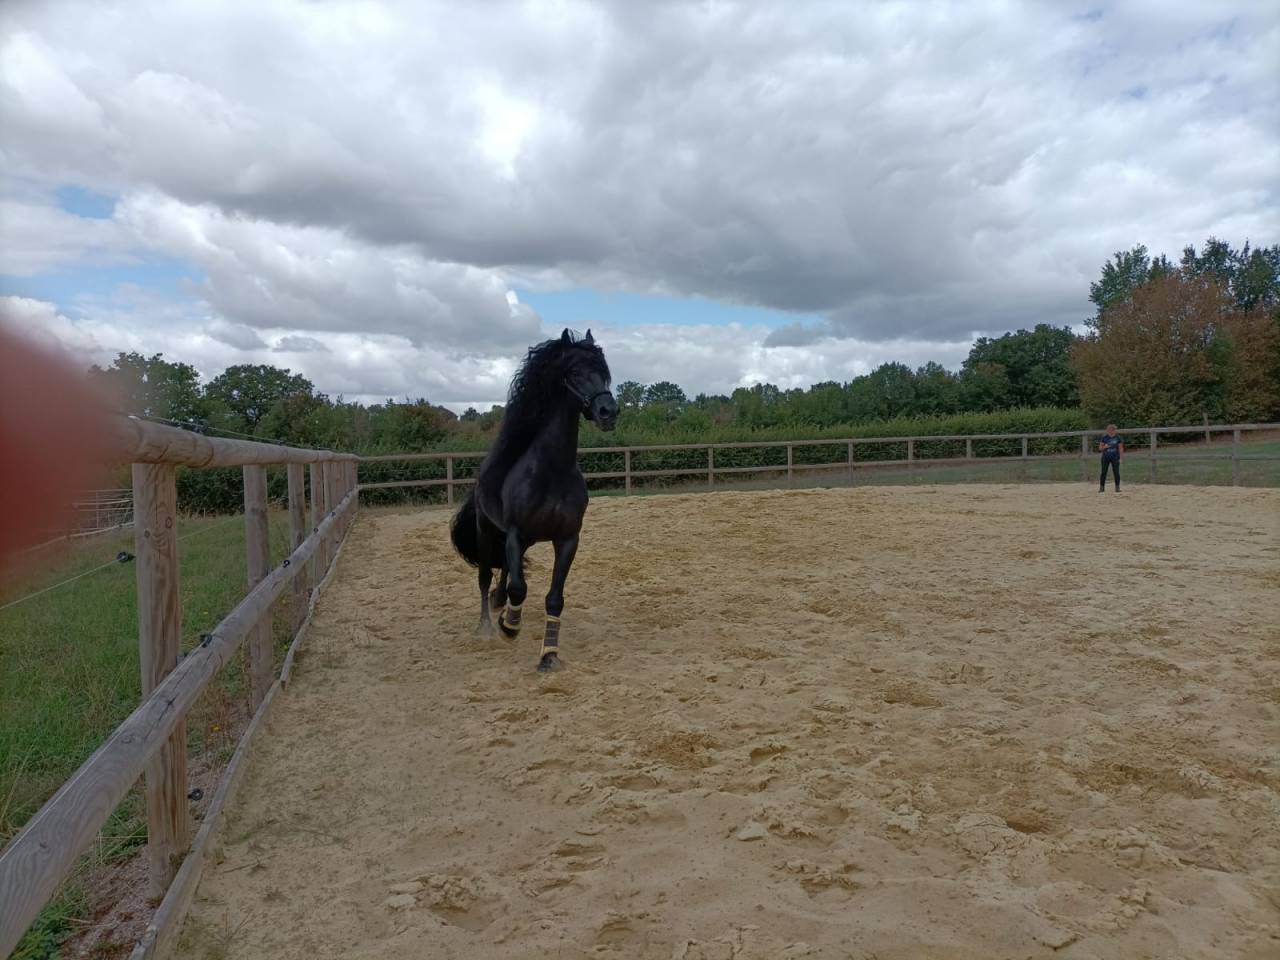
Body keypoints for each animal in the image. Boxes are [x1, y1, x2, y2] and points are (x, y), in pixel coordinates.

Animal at [450, 328, 618, 672]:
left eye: (603, 371)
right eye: (574, 372)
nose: (608, 411)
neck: (552, 471)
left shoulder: (567, 539)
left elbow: (553, 597)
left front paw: (549, 655)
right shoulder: (516, 534)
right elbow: (518, 588)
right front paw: (508, 627)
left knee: (503, 574)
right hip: (488, 532)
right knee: (486, 578)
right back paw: (486, 626)